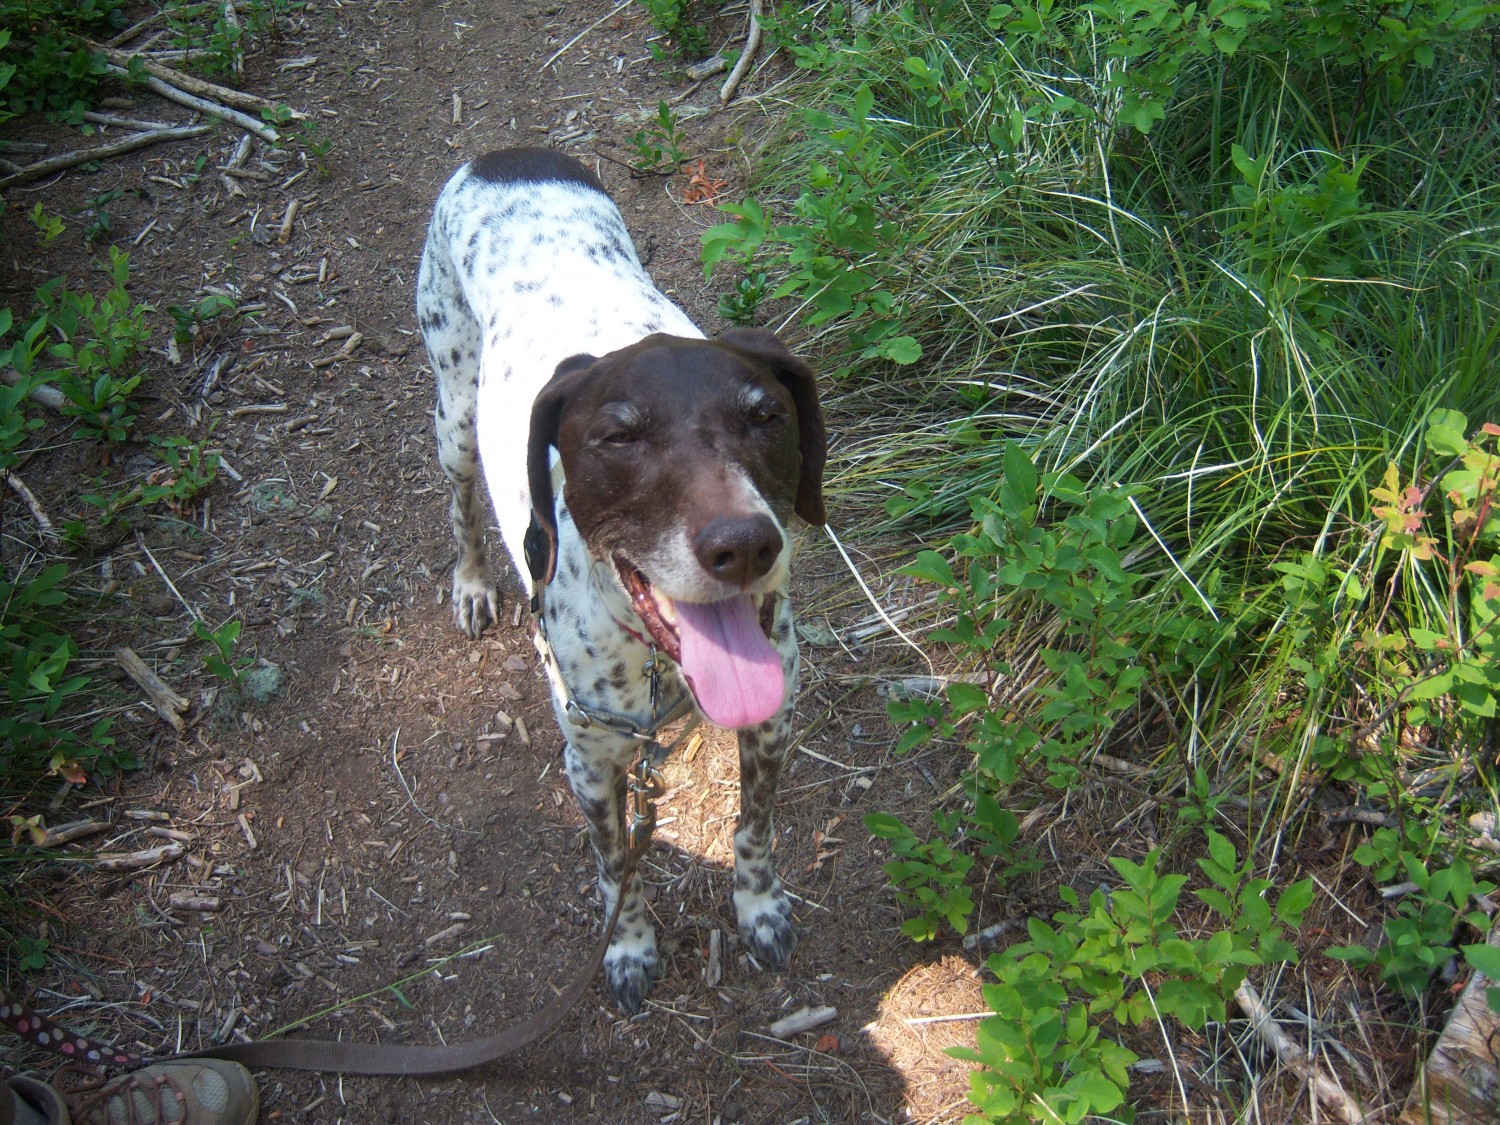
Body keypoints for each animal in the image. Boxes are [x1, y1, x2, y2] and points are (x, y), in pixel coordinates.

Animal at [417, 147, 828, 1014]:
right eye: (618, 435)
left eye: (767, 416)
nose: (746, 545)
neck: (657, 661)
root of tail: (505, 156)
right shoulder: (592, 763)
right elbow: (618, 869)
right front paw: (632, 947)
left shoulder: (773, 720)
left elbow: (754, 829)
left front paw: (759, 908)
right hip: (453, 416)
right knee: (458, 505)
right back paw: (470, 582)